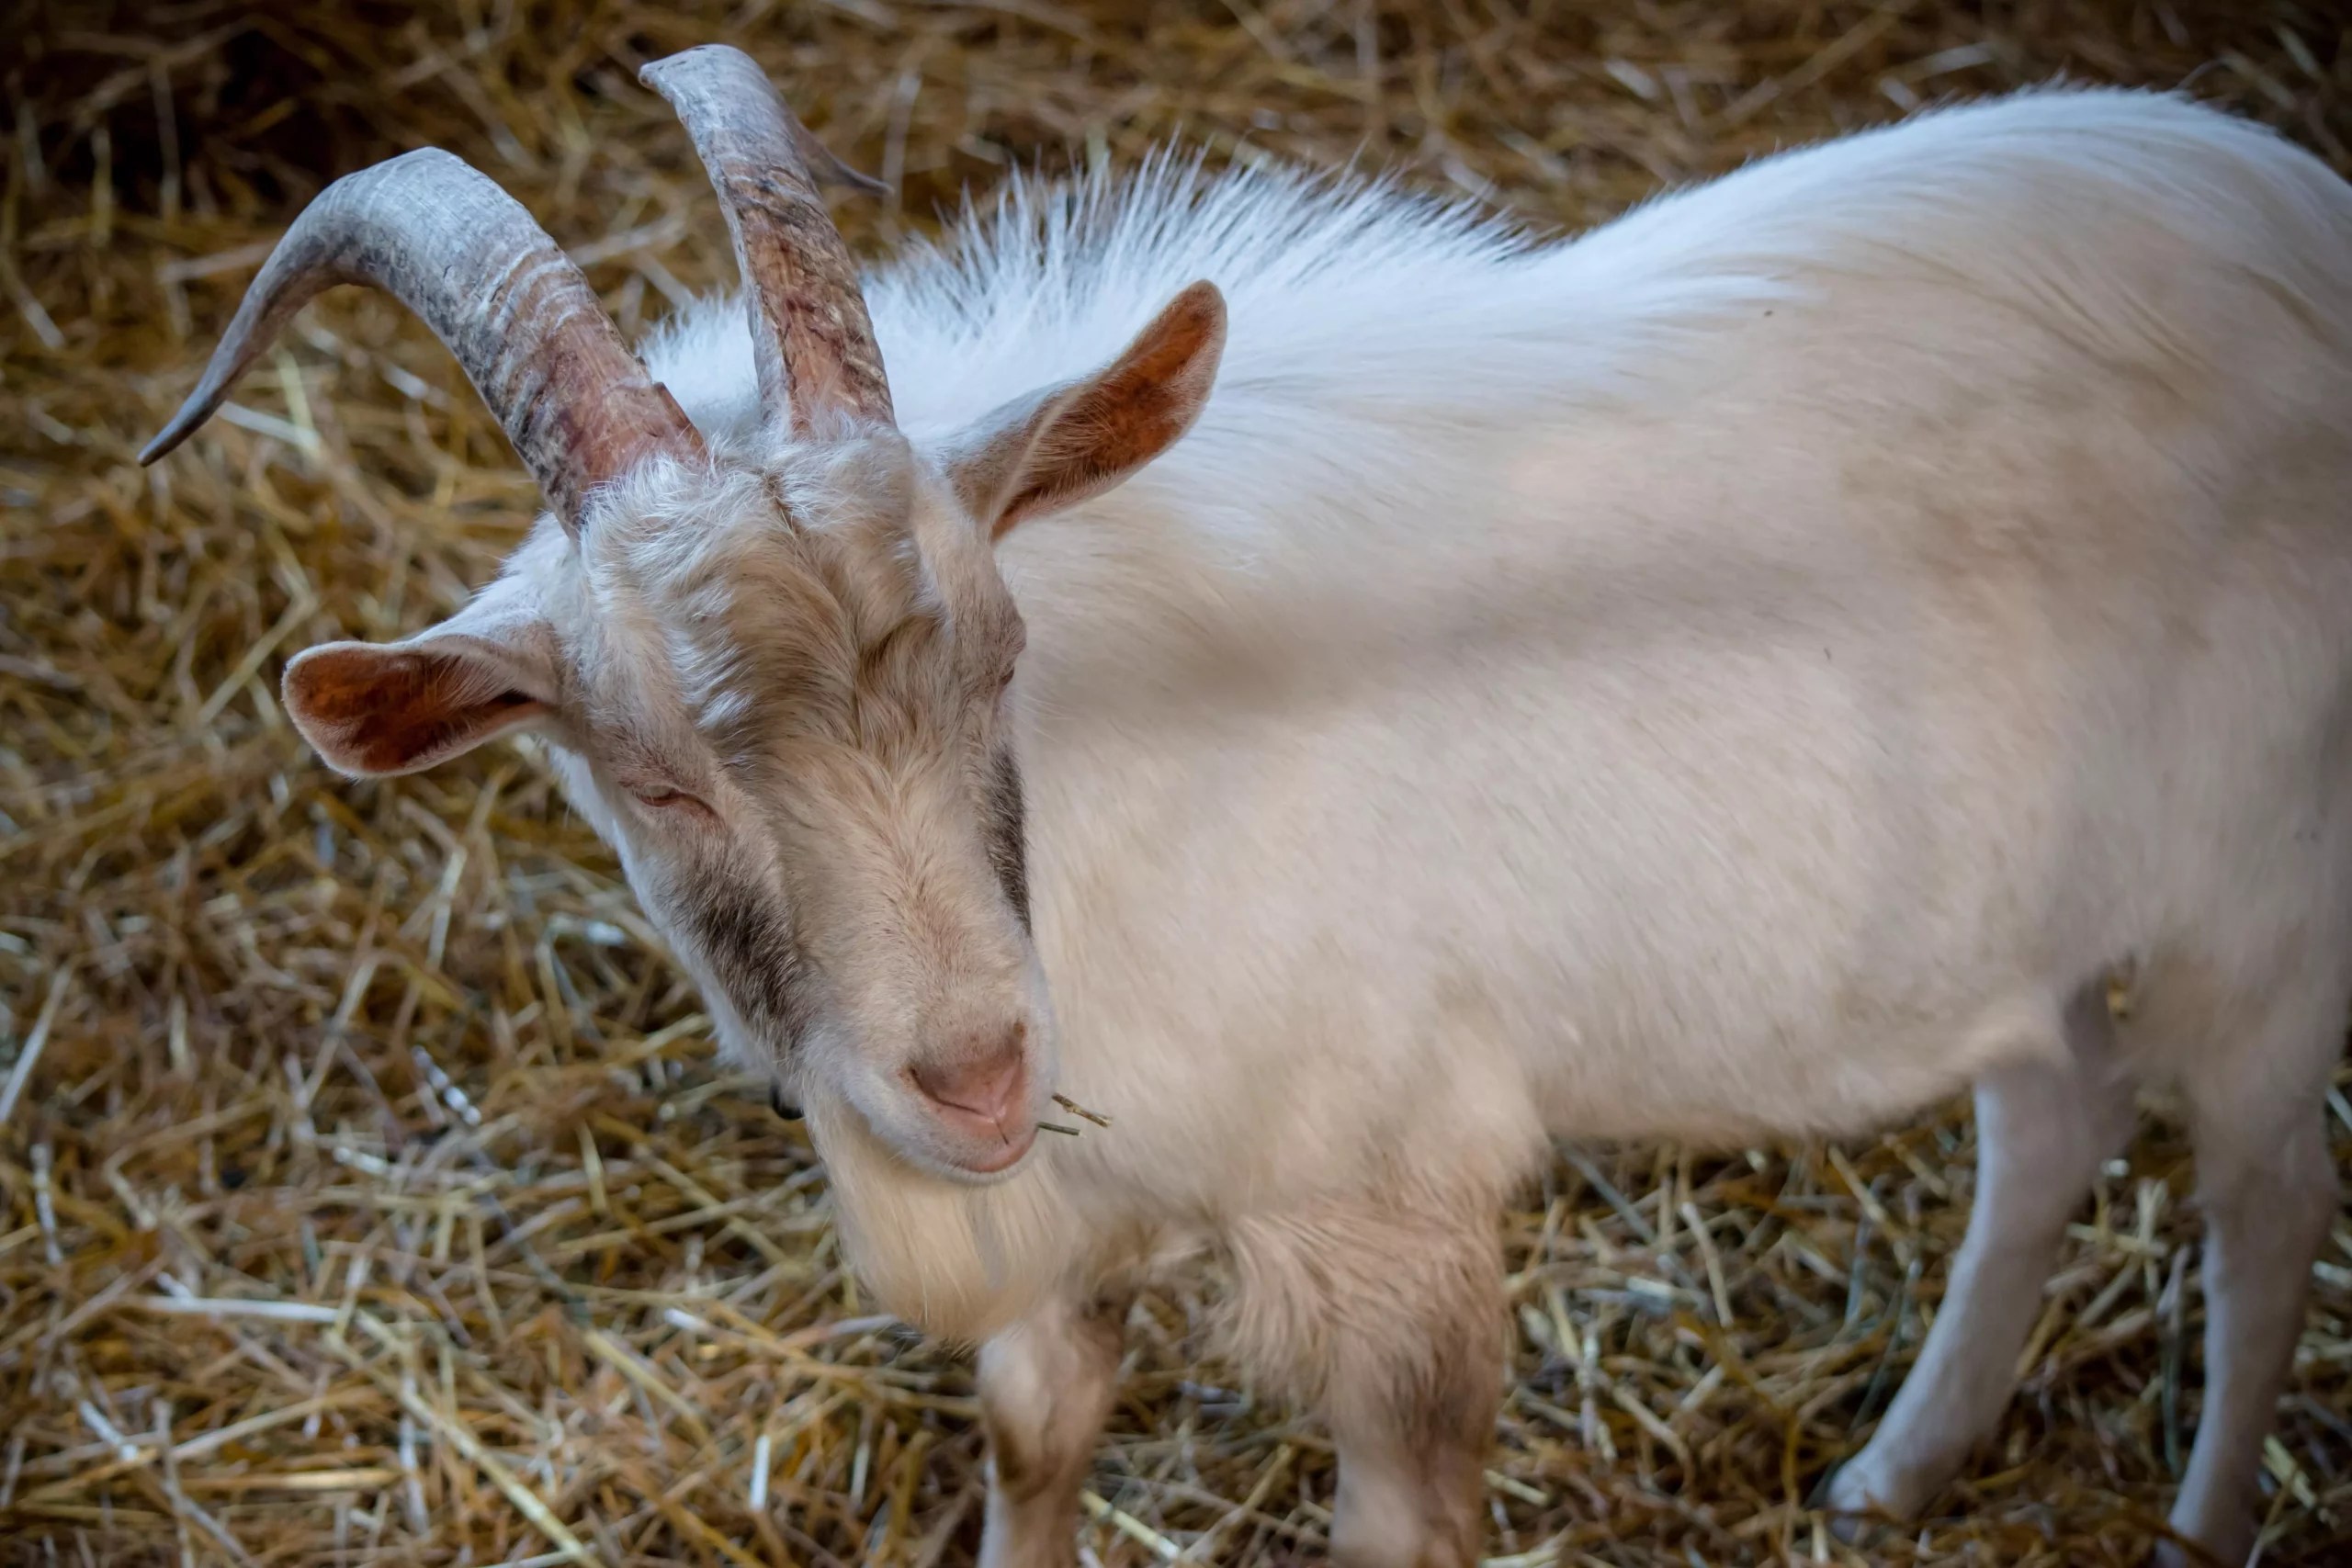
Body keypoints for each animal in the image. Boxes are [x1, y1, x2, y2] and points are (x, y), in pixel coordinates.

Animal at [143, 44, 2351, 1568]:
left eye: (999, 656)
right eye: (655, 768)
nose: (972, 1069)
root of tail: (2302, 210)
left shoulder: (1397, 1226)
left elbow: (1401, 1512)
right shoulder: (1064, 1231)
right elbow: (1035, 1444)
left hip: (2264, 909)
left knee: (2262, 1196)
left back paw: (2197, 1524)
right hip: (2028, 907)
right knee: (2053, 1108)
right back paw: (1896, 1468)